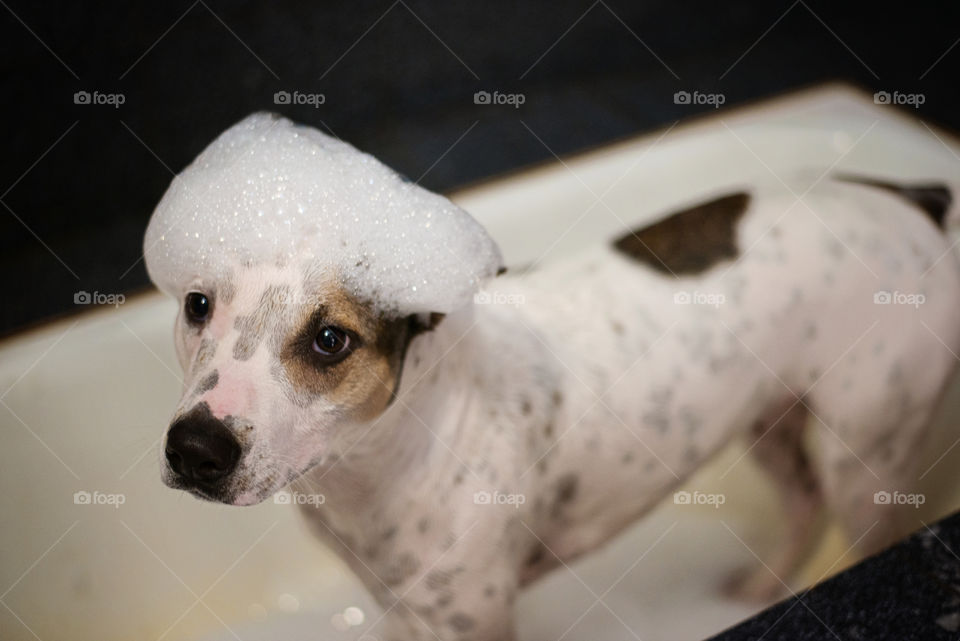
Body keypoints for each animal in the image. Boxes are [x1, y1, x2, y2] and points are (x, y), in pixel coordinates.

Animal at [144, 112, 960, 636]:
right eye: (196, 303)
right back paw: (754, 593)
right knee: (801, 504)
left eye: (329, 340)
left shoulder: (470, 623)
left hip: (867, 457)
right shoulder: (400, 610)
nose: (195, 449)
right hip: (771, 419)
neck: (388, 460)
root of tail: (912, 198)